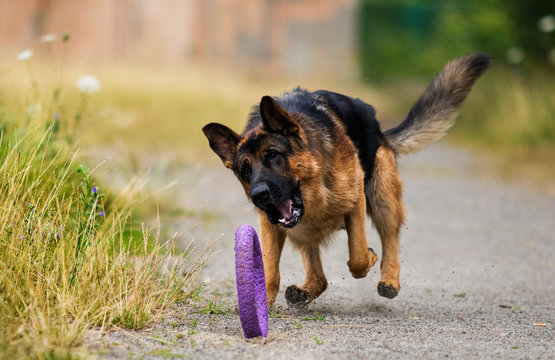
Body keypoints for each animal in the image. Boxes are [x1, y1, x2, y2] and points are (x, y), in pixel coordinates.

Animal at [202, 53, 488, 306]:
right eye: (245, 171)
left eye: (273, 155)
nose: (259, 195)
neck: (315, 189)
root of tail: (381, 131)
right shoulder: (271, 225)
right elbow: (270, 270)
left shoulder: (355, 202)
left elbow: (358, 255)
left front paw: (369, 259)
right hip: (303, 231)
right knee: (319, 277)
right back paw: (304, 292)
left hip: (383, 199)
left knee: (391, 241)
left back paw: (390, 280)